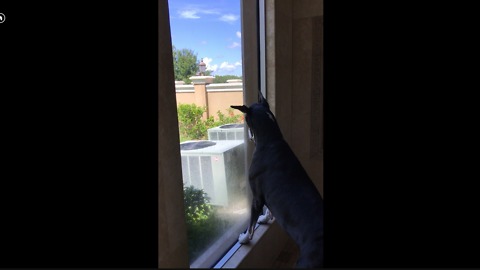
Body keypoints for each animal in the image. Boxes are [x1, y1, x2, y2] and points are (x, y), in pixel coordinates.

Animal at [232, 92, 324, 268]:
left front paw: (245, 238)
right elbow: (269, 208)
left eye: (246, 120)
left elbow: (251, 223)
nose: (248, 136)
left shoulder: (256, 197)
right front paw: (265, 218)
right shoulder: (269, 193)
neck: (271, 140)